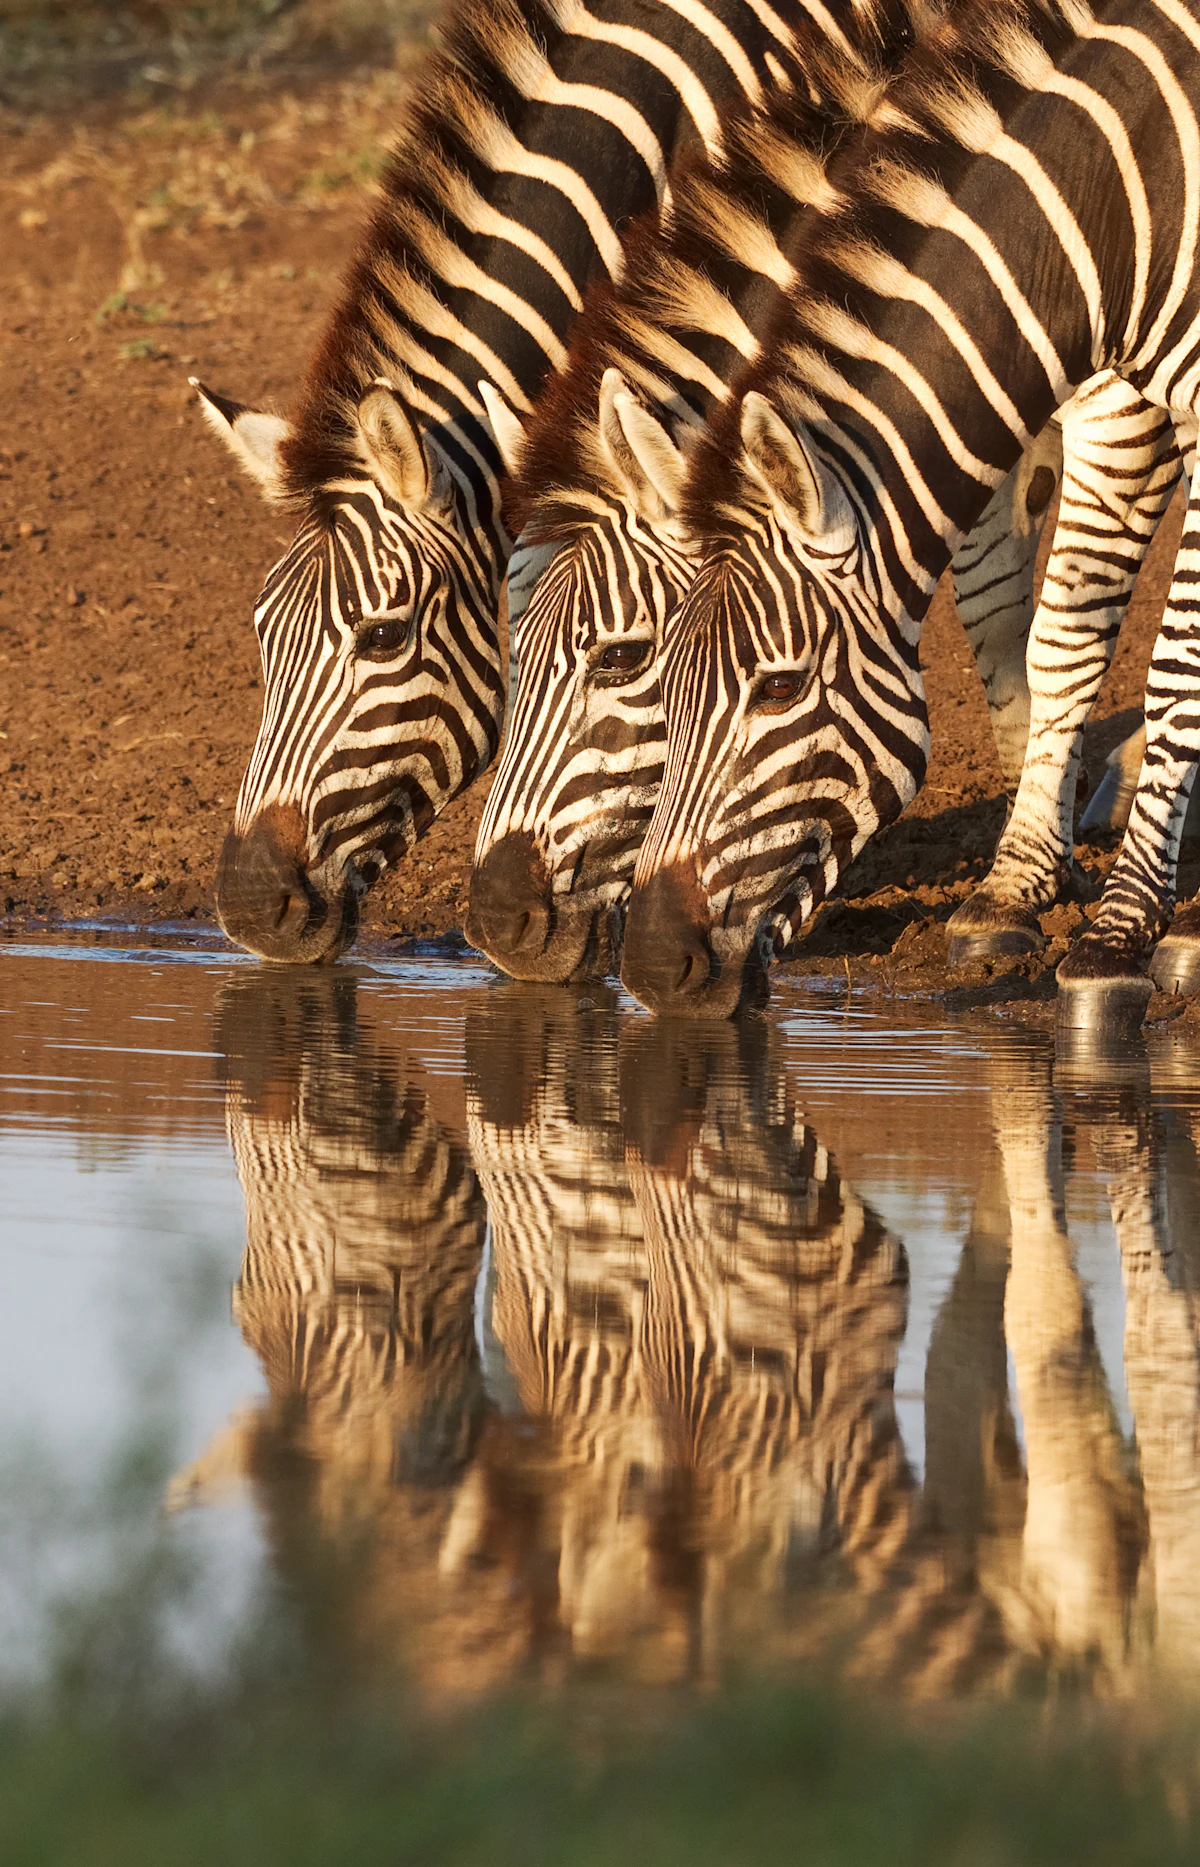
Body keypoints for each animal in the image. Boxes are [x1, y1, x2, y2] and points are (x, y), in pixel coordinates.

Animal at [613, 0, 1200, 1025]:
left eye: (778, 688)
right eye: (659, 677)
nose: (649, 966)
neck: (1130, 204)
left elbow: (1175, 672)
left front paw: (1119, 935)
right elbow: (1062, 638)